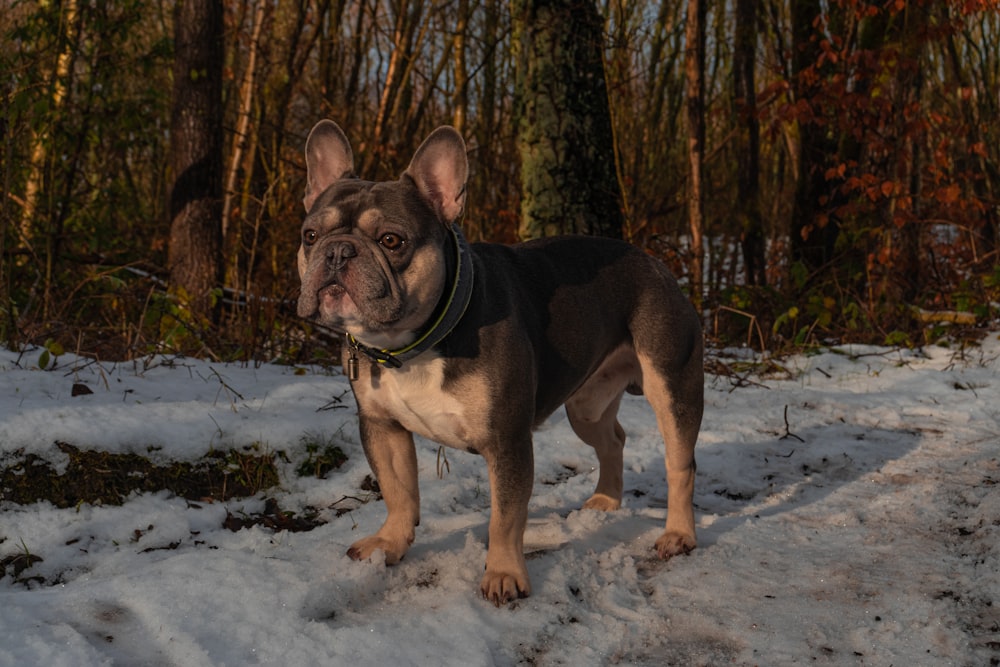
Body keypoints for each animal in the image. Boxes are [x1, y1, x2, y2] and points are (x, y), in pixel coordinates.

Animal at [296, 120, 704, 604]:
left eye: (391, 241)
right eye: (310, 236)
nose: (338, 252)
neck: (415, 344)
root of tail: (658, 265)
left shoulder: (507, 439)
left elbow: (506, 516)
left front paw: (504, 573)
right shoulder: (382, 426)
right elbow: (398, 491)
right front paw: (389, 543)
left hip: (670, 384)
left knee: (680, 462)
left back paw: (678, 534)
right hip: (586, 405)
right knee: (613, 440)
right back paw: (606, 500)